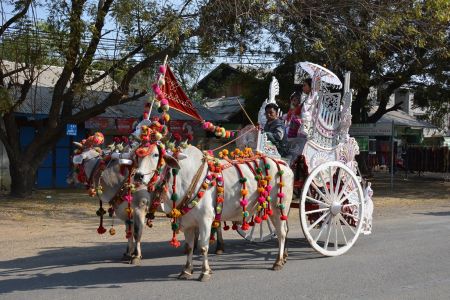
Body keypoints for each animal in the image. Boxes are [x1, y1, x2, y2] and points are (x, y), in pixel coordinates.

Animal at [134, 145, 296, 282]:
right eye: (137, 156)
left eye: (156, 155)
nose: (138, 176)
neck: (186, 178)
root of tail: (283, 164)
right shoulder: (188, 224)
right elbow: (189, 247)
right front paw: (186, 270)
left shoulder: (205, 220)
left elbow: (203, 247)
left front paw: (205, 272)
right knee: (285, 230)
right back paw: (284, 257)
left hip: (277, 208)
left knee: (281, 233)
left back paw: (278, 261)